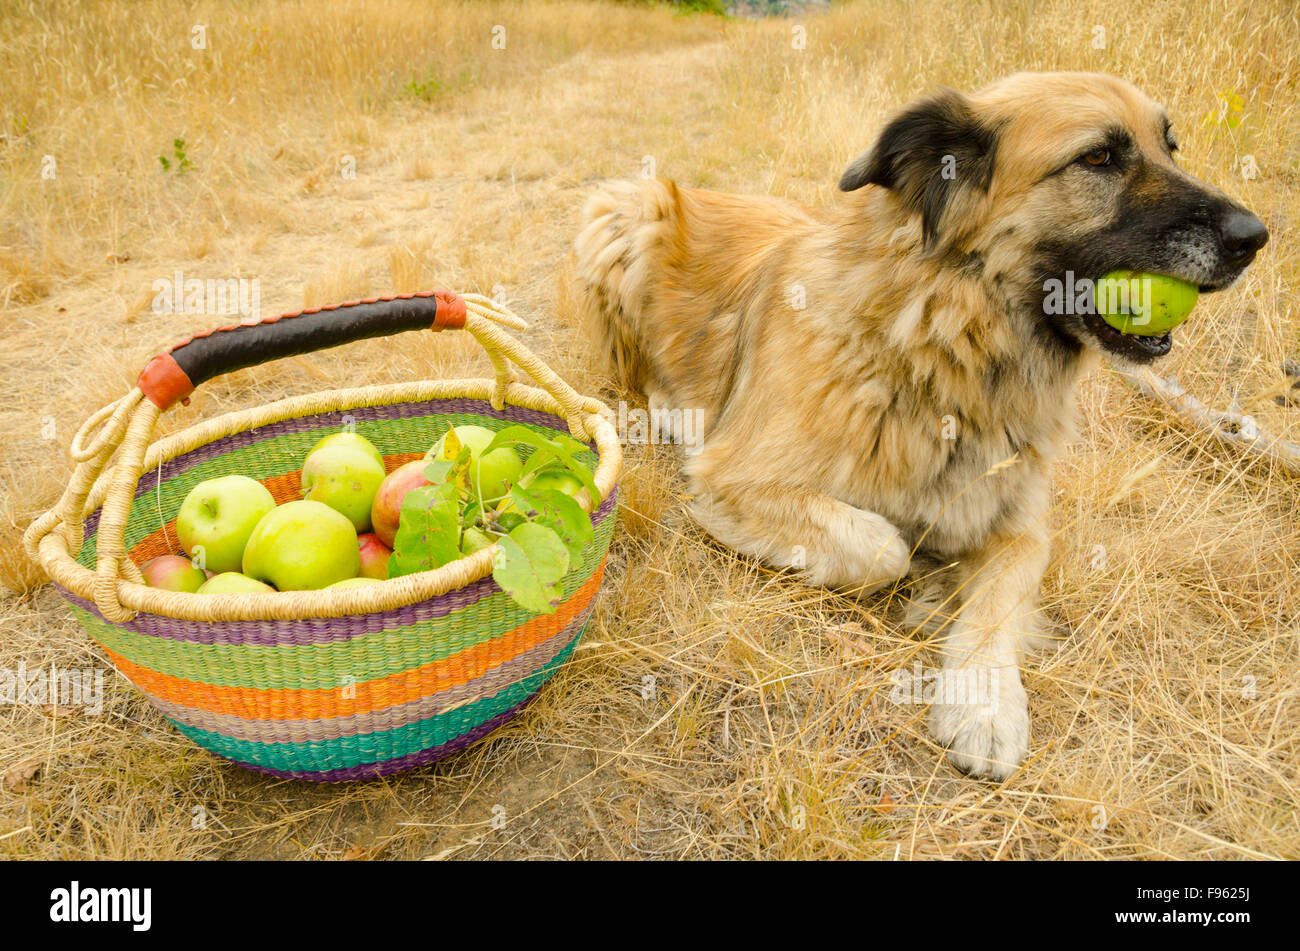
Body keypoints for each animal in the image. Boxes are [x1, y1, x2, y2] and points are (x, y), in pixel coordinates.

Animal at [572, 70, 1268, 774]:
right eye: (1098, 157)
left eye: (1171, 147)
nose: (1256, 237)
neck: (941, 343)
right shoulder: (734, 478)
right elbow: (883, 546)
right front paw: (927, 587)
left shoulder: (1022, 528)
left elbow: (996, 603)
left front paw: (985, 701)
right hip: (625, 212)